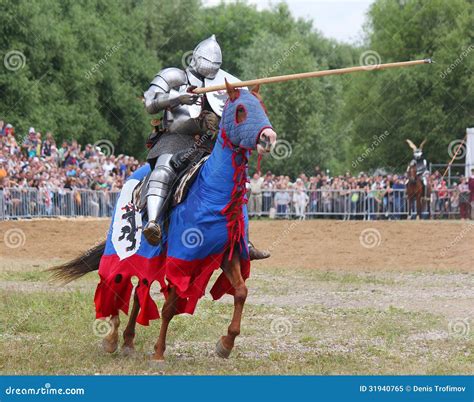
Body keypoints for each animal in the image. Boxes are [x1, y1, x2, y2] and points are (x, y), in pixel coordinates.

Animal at [49, 81, 276, 364]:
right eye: (241, 110)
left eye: (262, 107)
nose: (269, 138)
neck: (211, 192)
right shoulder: (182, 259)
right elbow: (169, 307)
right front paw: (158, 351)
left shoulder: (227, 254)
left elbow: (241, 292)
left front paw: (226, 343)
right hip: (124, 249)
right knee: (117, 282)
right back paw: (112, 339)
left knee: (138, 291)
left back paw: (128, 340)